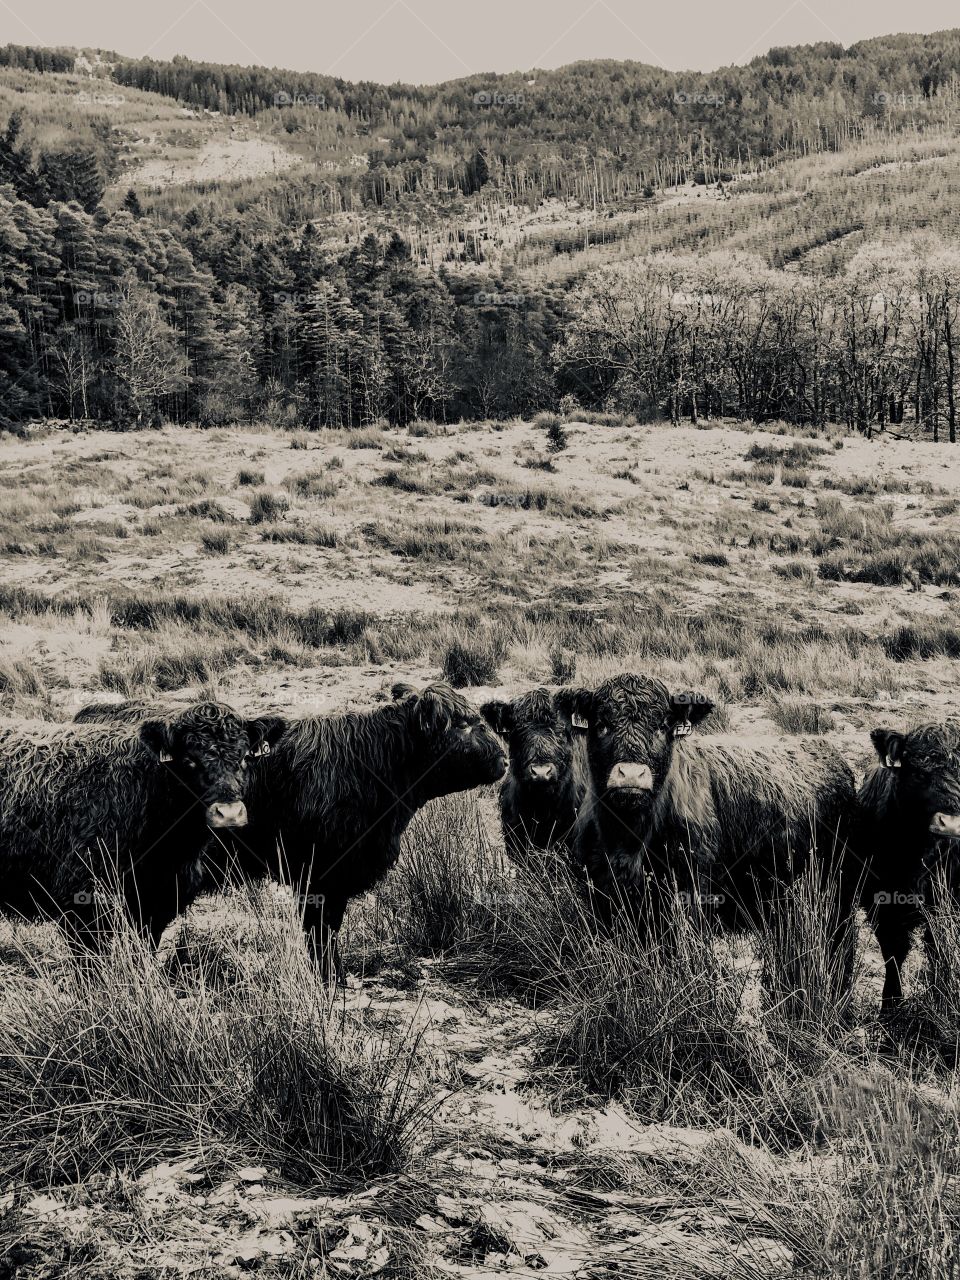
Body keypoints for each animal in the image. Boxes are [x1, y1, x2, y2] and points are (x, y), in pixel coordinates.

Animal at [77, 683, 508, 976]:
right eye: (464, 725)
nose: (504, 760)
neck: (375, 767)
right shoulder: (322, 876)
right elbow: (321, 935)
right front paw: (331, 981)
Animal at [555, 673, 858, 972]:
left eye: (662, 726)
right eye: (601, 724)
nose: (631, 774)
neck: (627, 839)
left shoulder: (691, 891)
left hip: (836, 891)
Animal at [856, 721, 960, 1005]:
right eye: (917, 771)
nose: (951, 823)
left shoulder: (944, 903)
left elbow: (937, 948)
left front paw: (939, 993)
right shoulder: (881, 903)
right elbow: (893, 953)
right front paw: (890, 1002)